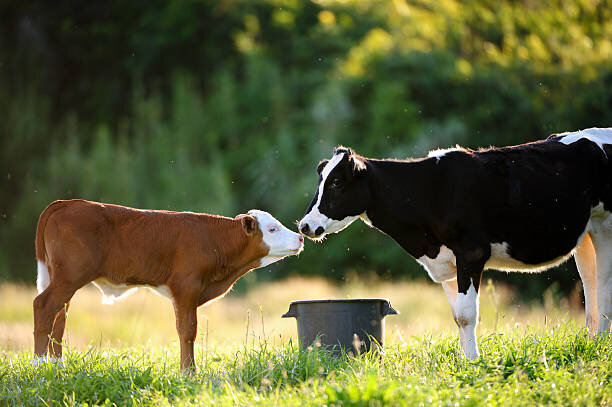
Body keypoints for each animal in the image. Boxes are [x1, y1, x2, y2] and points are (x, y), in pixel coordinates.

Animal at [34, 199, 304, 372]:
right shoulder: (186, 286)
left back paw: (57, 365)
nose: (300, 237)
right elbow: (187, 330)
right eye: (272, 228)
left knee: (59, 316)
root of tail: (67, 203)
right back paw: (39, 366)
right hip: (69, 277)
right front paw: (189, 372)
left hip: (64, 280)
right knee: (43, 305)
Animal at [298, 128, 608, 360]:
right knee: (590, 285)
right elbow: (457, 314)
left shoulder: (471, 252)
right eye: (321, 181)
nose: (304, 226)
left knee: (604, 285)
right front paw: (464, 357)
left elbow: (467, 314)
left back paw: (602, 344)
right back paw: (591, 342)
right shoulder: (446, 263)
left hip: (605, 225)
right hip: (585, 238)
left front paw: (472, 362)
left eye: (336, 183)